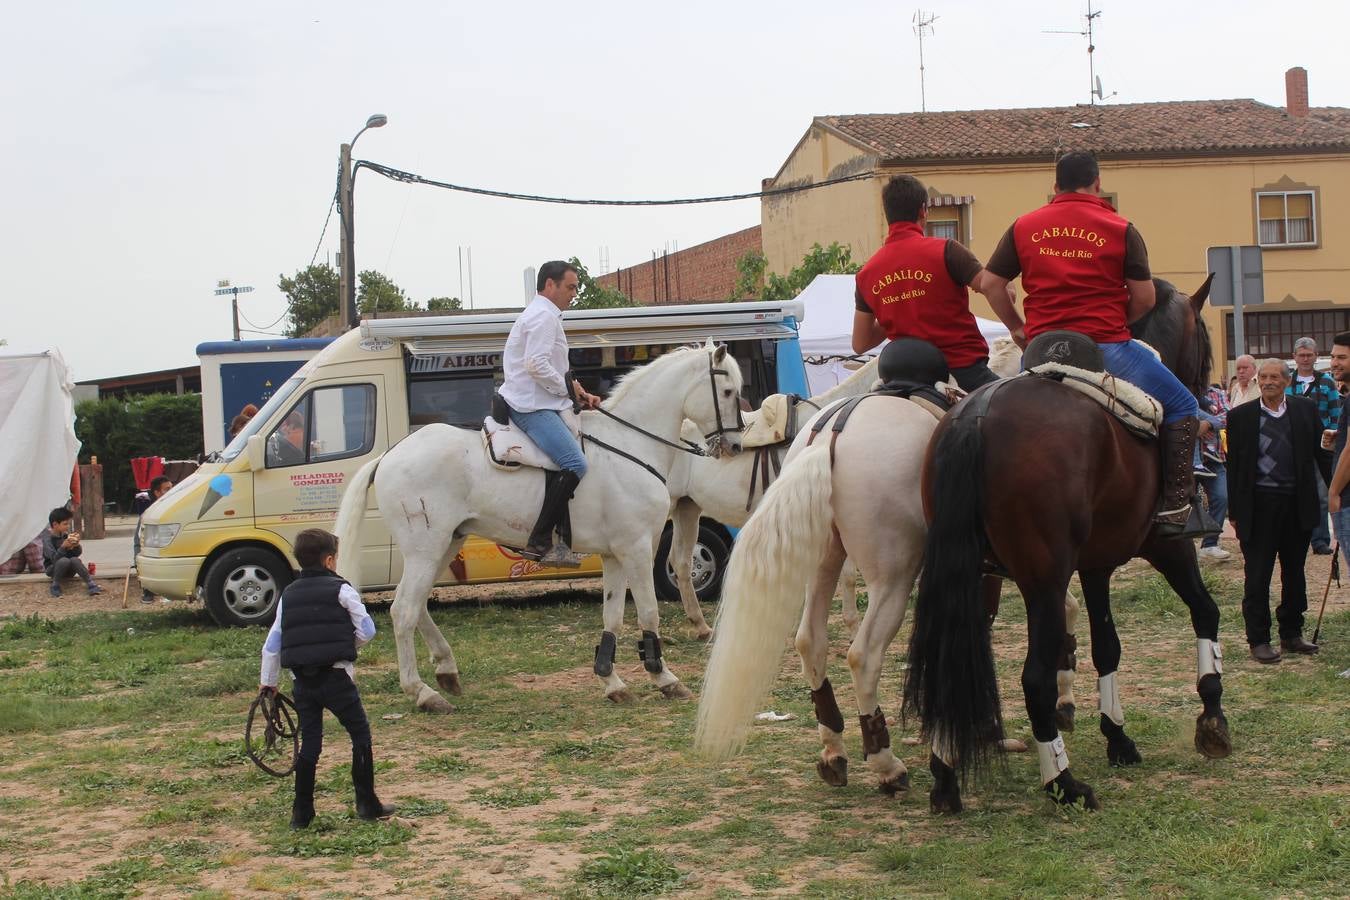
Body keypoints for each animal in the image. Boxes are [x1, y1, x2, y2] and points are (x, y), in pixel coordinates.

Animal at [333, 345, 745, 712]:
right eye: (727, 391)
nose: (736, 445)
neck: (632, 446)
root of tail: (388, 456)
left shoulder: (615, 554)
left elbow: (612, 615)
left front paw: (611, 680)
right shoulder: (638, 548)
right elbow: (648, 613)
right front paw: (664, 678)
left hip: (446, 544)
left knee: (417, 607)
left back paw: (447, 671)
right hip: (425, 548)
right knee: (404, 610)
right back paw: (422, 693)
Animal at [907, 277, 1236, 814]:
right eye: (1206, 342)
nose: (1209, 407)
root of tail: (974, 416)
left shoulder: (1096, 564)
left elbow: (1108, 646)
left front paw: (1118, 737)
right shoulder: (1168, 549)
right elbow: (1205, 612)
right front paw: (1212, 716)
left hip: (970, 576)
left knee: (949, 669)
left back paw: (945, 779)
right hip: (1042, 581)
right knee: (1035, 678)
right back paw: (1062, 781)